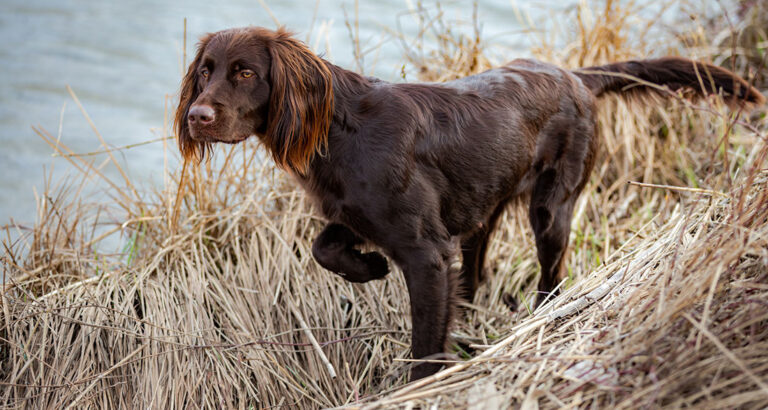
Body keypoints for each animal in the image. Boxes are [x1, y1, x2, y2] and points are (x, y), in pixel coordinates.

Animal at [177, 26, 764, 382]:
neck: (342, 130)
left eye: (246, 72)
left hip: (552, 208)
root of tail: (575, 75)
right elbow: (325, 247)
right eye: (205, 70)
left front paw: (416, 386)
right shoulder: (360, 216)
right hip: (484, 208)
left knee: (552, 274)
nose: (197, 116)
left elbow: (423, 344)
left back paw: (539, 315)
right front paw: (368, 268)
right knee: (477, 269)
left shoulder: (427, 253)